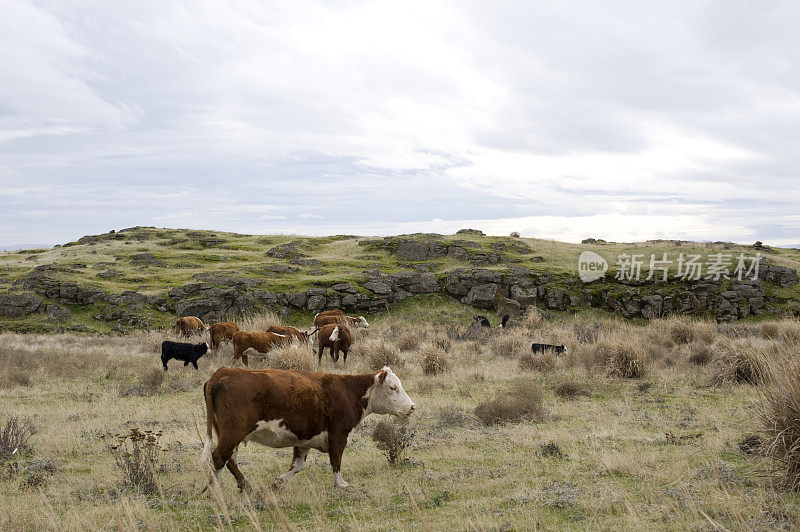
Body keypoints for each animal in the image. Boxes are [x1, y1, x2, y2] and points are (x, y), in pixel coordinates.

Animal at [200, 368, 416, 488]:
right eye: (392, 387)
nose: (412, 407)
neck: (348, 391)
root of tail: (224, 372)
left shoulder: (304, 439)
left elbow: (298, 465)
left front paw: (278, 482)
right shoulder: (338, 434)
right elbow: (336, 460)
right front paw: (340, 484)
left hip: (228, 433)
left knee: (229, 459)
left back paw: (244, 484)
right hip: (233, 432)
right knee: (219, 457)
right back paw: (215, 491)